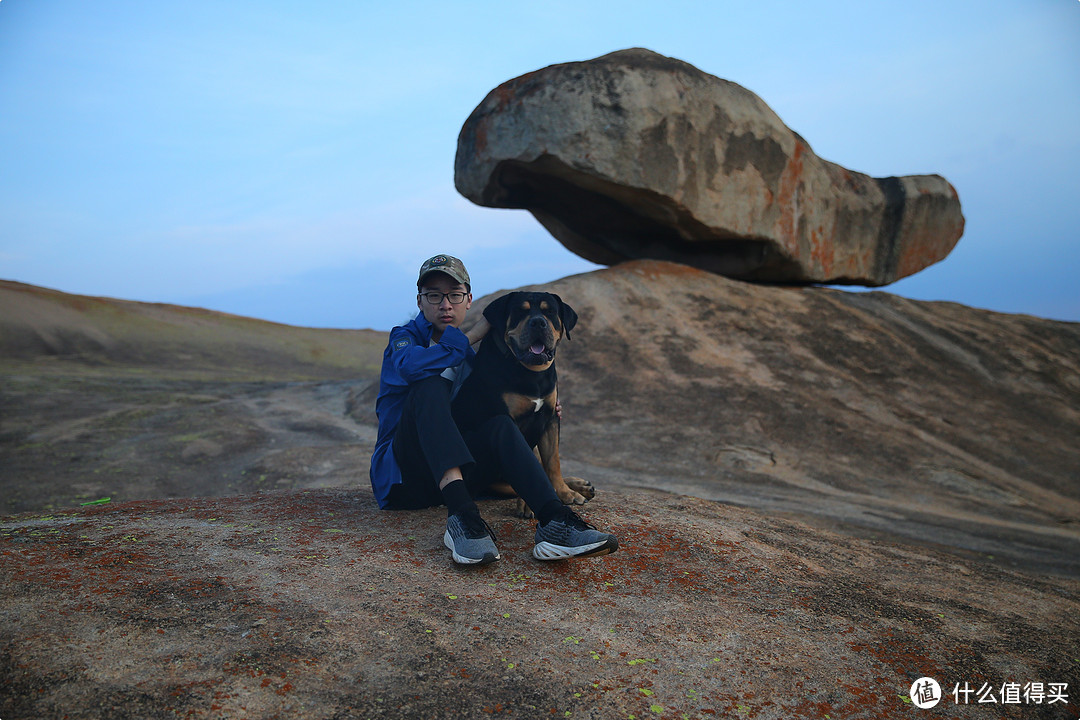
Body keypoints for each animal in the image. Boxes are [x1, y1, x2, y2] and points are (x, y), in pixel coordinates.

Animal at [451, 289, 596, 515]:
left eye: (549, 311)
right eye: (521, 311)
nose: (538, 322)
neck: (531, 372)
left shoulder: (550, 417)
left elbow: (553, 461)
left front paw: (565, 492)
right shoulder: (511, 422)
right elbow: (528, 464)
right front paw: (529, 503)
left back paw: (580, 486)